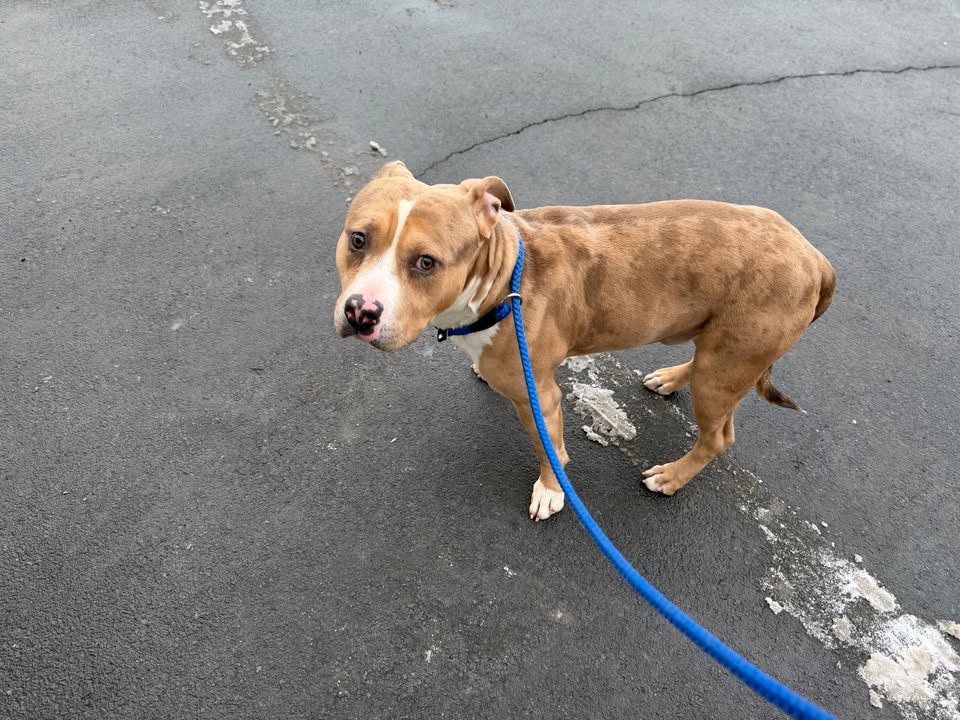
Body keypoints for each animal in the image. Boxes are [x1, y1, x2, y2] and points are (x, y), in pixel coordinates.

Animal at [334, 161, 835, 520]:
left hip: (727, 369)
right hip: (721, 348)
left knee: (718, 438)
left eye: (426, 262)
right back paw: (671, 378)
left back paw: (672, 477)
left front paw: (550, 492)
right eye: (358, 239)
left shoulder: (541, 397)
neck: (503, 280)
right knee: (702, 361)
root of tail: (815, 258)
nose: (360, 312)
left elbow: (549, 449)